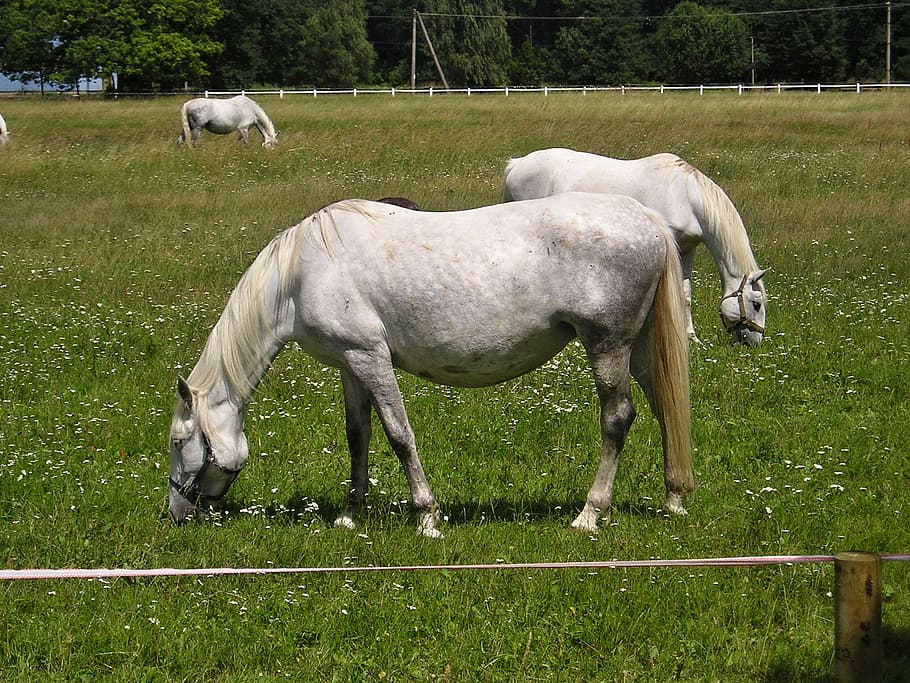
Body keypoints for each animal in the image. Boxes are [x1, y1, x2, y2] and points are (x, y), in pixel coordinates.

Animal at [168, 193, 693, 538]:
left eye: (178, 441)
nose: (176, 512)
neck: (301, 273)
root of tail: (646, 218)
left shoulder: (370, 357)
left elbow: (399, 436)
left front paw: (427, 517)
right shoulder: (349, 365)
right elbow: (358, 436)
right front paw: (350, 513)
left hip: (607, 347)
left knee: (617, 419)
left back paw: (589, 514)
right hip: (639, 352)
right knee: (666, 409)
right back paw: (673, 499)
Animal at [503, 148, 768, 346]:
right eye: (756, 304)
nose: (755, 342)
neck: (684, 195)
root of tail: (516, 164)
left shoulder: (687, 250)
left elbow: (685, 295)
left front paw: (691, 337)